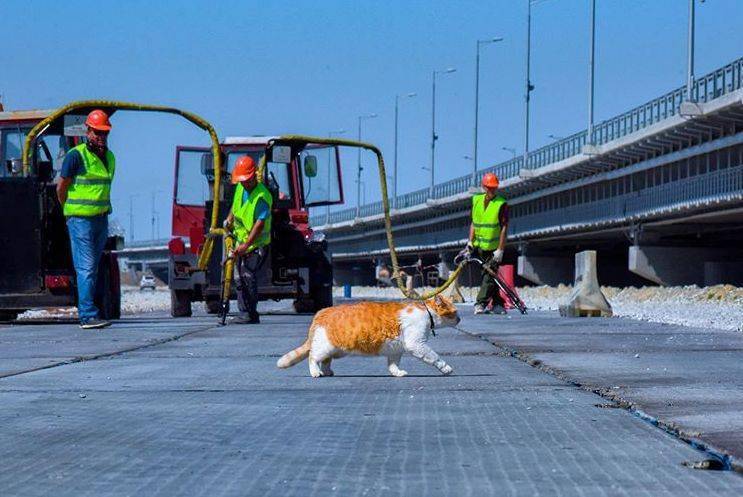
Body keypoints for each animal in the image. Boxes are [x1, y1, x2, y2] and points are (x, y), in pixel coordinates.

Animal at [278, 294, 460, 376]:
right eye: (454, 313)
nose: (460, 318)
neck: (427, 313)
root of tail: (322, 311)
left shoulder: (396, 349)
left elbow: (393, 364)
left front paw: (397, 373)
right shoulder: (417, 345)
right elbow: (434, 356)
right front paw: (446, 368)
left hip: (336, 349)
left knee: (326, 360)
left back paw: (328, 371)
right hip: (325, 346)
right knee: (313, 356)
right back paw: (316, 372)